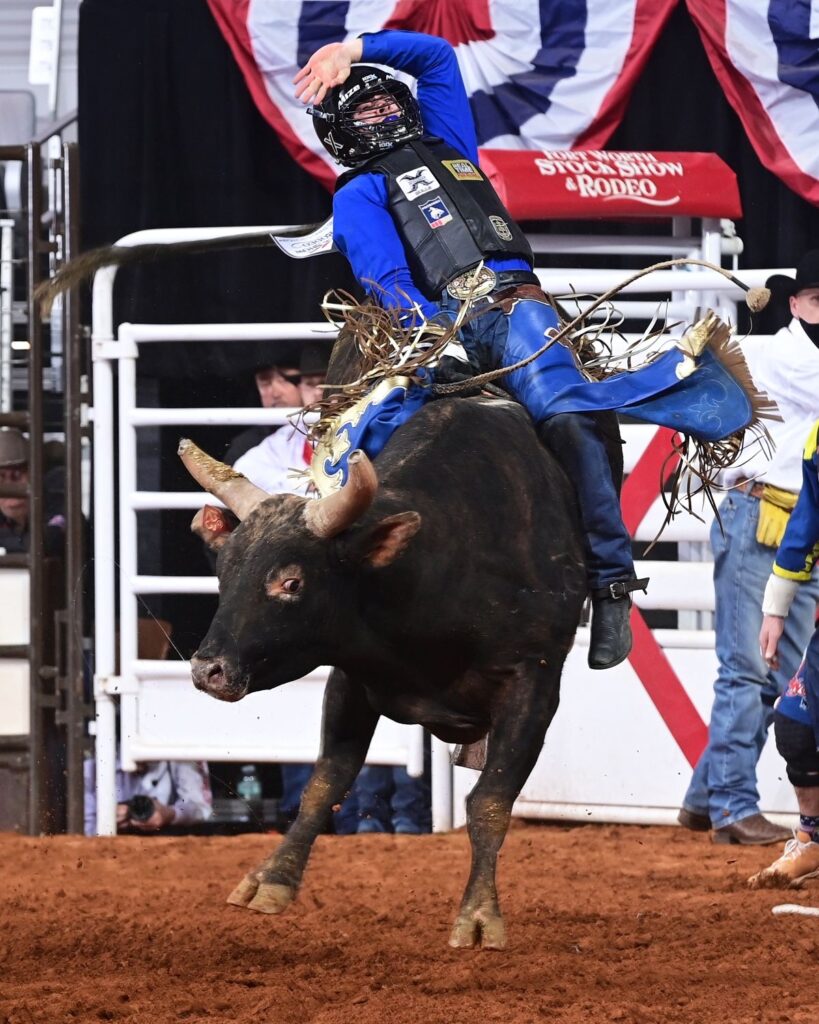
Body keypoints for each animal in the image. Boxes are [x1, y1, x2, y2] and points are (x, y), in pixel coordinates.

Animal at [184, 387, 622, 946]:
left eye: (292, 581)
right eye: (224, 570)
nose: (207, 670)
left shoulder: (535, 682)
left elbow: (489, 801)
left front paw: (479, 915)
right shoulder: (351, 675)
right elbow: (326, 781)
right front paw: (272, 880)